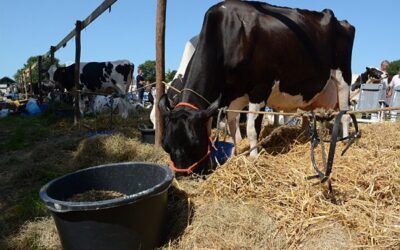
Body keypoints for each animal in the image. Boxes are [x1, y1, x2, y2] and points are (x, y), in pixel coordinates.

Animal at [158, 0, 354, 174]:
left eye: (195, 144)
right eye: (166, 146)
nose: (183, 176)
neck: (228, 34)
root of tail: (336, 18)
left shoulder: (260, 88)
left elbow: (252, 129)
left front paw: (253, 158)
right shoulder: (233, 95)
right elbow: (232, 126)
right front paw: (234, 154)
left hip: (344, 78)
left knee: (344, 114)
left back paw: (344, 141)